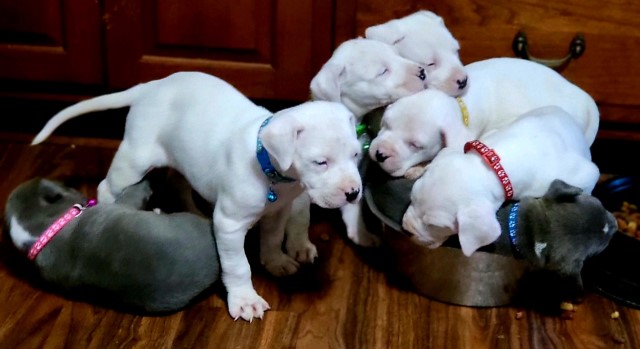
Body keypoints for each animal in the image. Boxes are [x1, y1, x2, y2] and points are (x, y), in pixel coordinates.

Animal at [31, 70, 364, 320]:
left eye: (356, 155)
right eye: (320, 162)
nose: (353, 193)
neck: (269, 167)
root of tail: (151, 86)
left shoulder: (278, 211)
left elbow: (271, 238)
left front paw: (275, 261)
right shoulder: (229, 225)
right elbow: (238, 265)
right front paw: (245, 299)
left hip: (181, 158)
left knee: (179, 185)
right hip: (134, 159)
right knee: (107, 186)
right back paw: (107, 206)